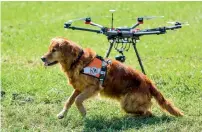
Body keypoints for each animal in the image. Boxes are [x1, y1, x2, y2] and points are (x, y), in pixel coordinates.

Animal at [41, 36, 183, 118]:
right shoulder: (79, 87)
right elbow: (70, 100)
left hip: (127, 103)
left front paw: (83, 112)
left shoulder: (93, 88)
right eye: (49, 49)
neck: (78, 60)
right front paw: (62, 114)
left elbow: (77, 100)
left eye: (54, 50)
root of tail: (148, 82)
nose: (42, 58)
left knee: (148, 112)